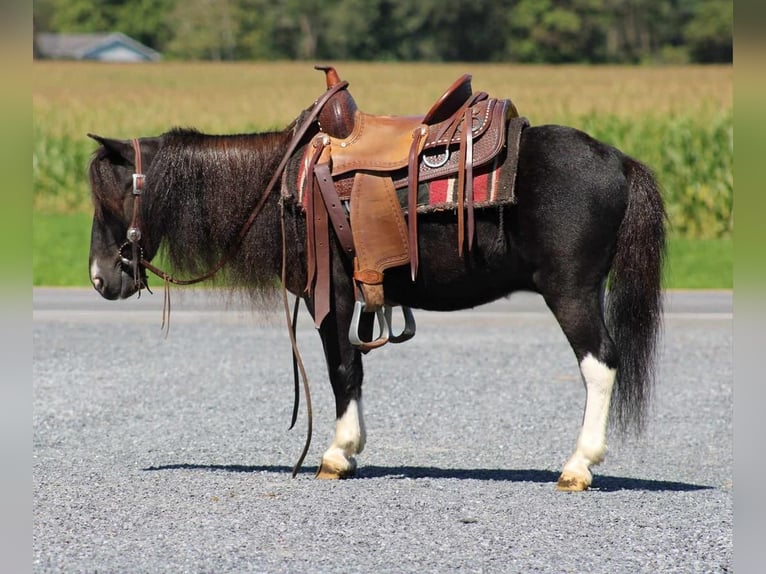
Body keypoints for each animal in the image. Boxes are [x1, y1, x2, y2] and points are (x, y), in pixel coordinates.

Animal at [87, 97, 664, 492]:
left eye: (112, 198)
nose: (98, 278)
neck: (284, 186)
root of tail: (619, 161)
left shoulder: (331, 294)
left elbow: (341, 366)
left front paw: (337, 453)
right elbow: (356, 366)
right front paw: (351, 450)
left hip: (571, 291)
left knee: (600, 363)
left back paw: (578, 466)